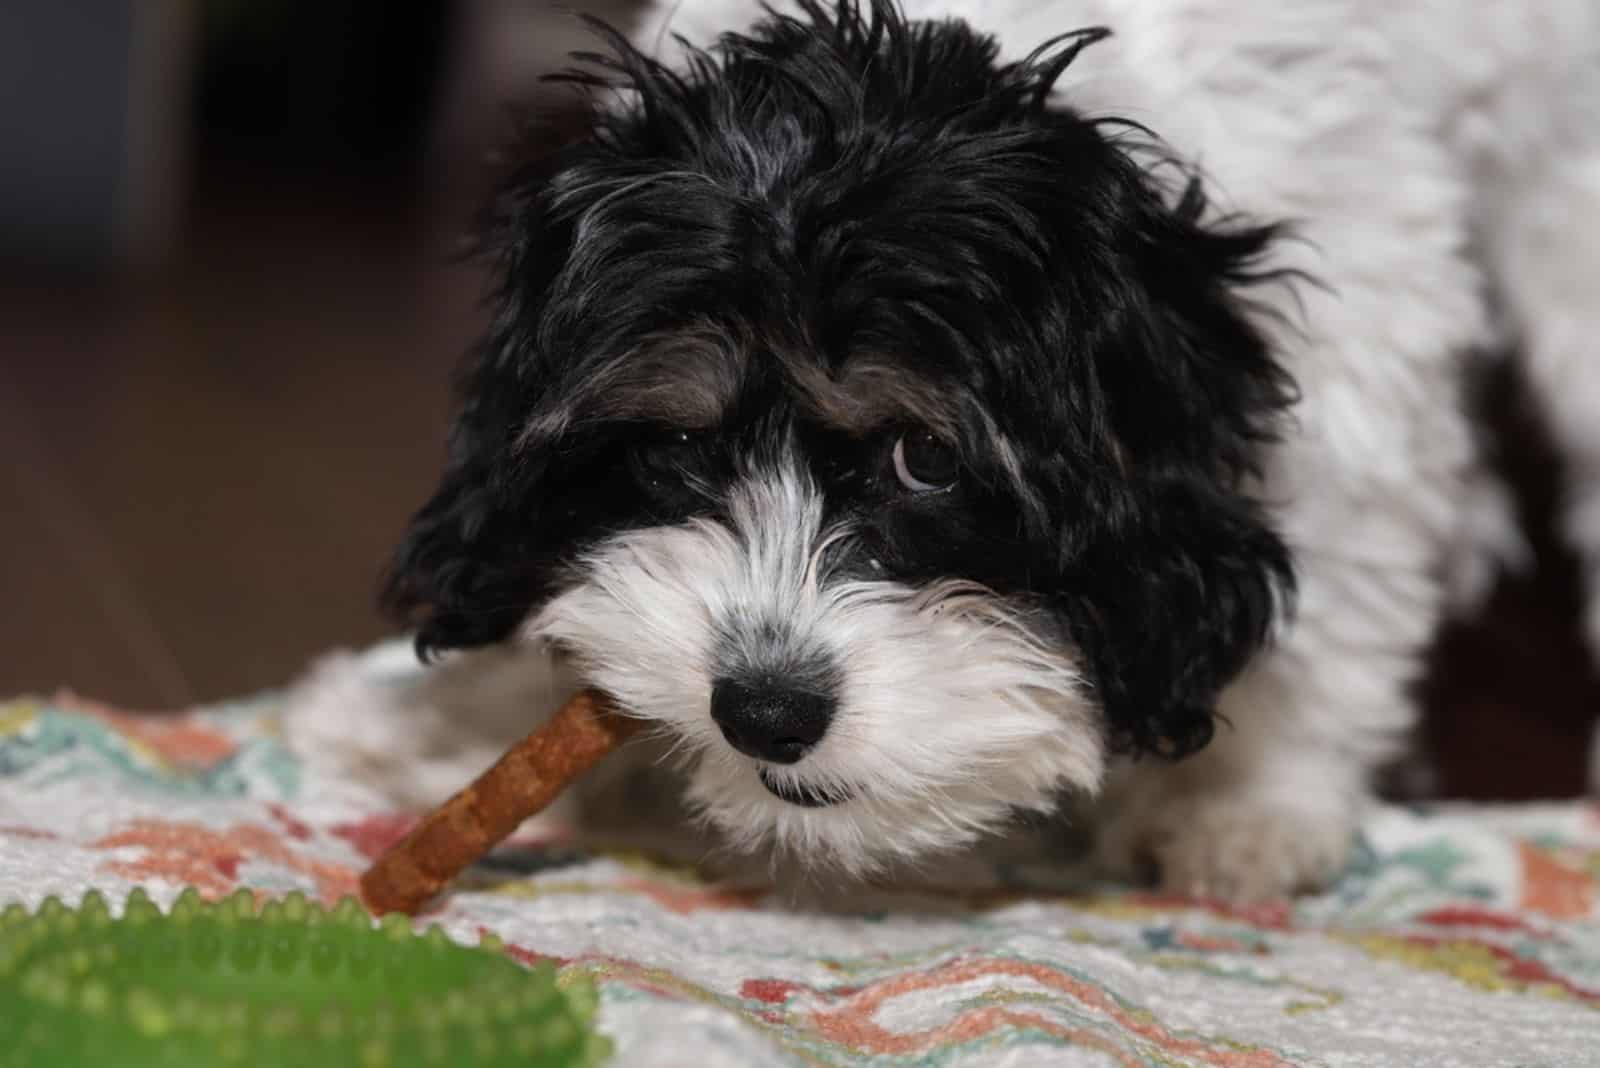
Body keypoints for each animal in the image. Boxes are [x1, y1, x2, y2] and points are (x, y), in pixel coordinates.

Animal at [284, 0, 1600, 901]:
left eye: (927, 459)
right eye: (677, 439)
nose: (764, 709)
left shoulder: (1364, 325)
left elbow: (1336, 572)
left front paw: (1244, 800)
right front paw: (452, 722)